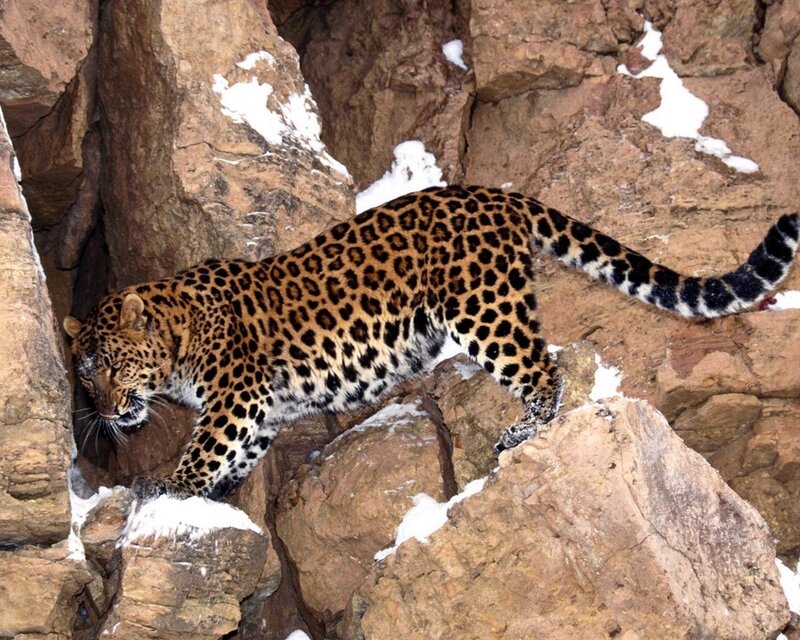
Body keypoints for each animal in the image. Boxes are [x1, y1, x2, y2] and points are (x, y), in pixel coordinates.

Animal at [63, 185, 800, 500]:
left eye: (113, 365)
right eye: (85, 375)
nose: (104, 411)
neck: (178, 333)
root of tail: (493, 193)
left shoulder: (236, 393)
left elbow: (207, 446)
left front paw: (167, 483)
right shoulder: (263, 407)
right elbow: (238, 452)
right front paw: (216, 491)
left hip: (482, 306)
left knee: (544, 368)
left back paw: (522, 432)